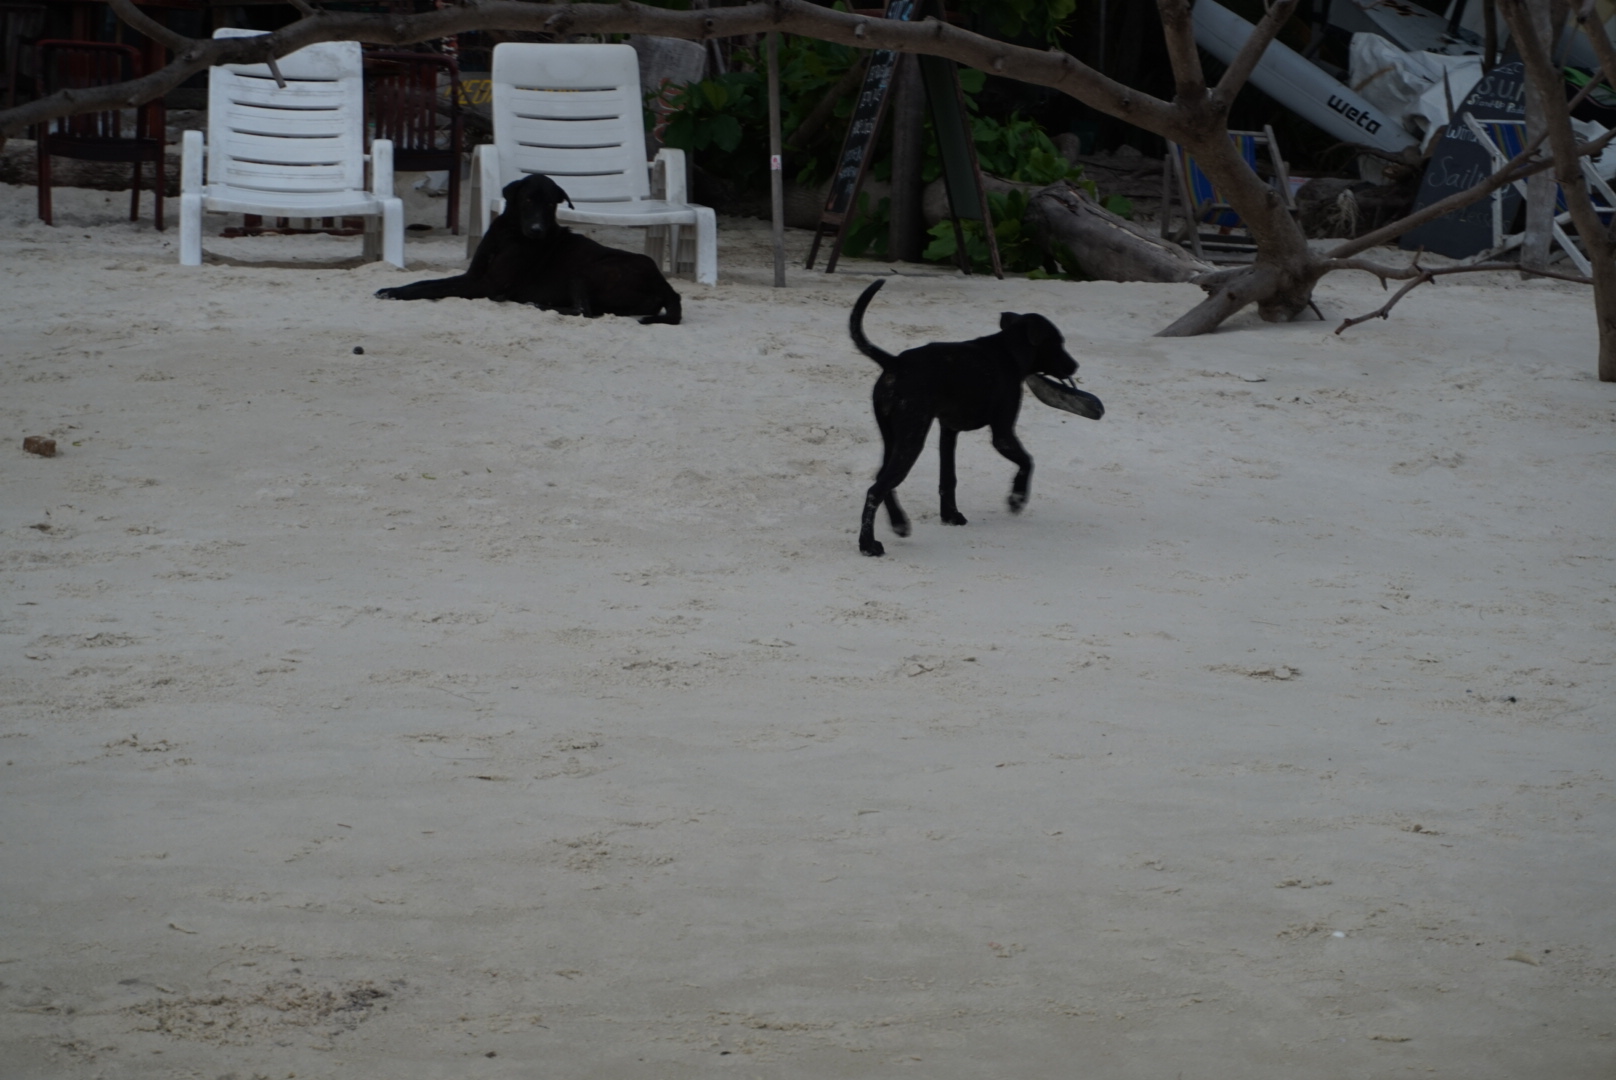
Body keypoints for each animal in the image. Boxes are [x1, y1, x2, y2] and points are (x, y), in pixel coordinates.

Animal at [374, 170, 678, 324]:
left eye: (551, 203)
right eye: (528, 200)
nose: (537, 231)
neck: (510, 234)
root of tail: (666, 286)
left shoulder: (486, 284)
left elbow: (432, 288)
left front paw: (397, 294)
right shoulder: (474, 275)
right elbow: (427, 282)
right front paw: (393, 288)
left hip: (585, 271)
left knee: (585, 311)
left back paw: (539, 305)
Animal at [846, 278, 1098, 556]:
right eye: (1058, 343)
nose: (1074, 366)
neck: (1009, 351)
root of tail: (894, 363)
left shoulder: (948, 430)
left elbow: (948, 479)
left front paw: (950, 516)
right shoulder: (1003, 433)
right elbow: (1027, 461)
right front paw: (1017, 498)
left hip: (894, 438)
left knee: (882, 481)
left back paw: (899, 523)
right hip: (912, 439)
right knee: (875, 490)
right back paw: (868, 544)